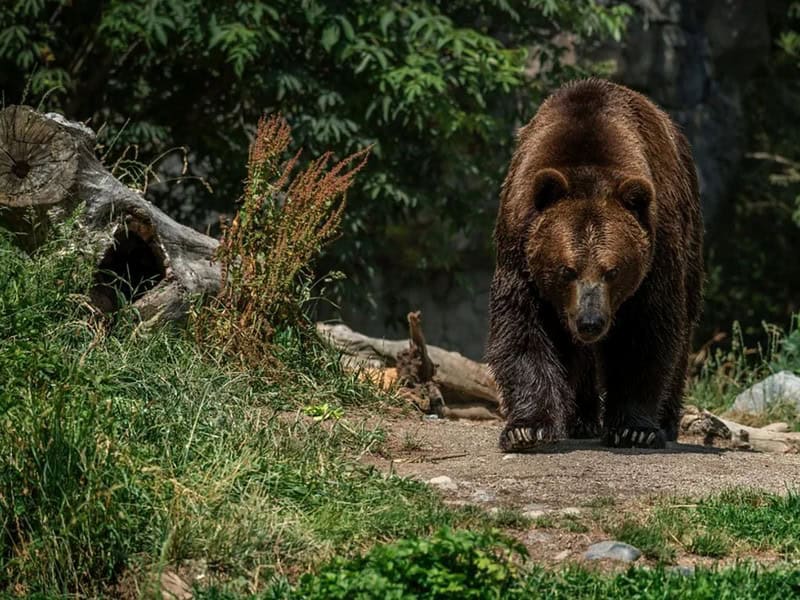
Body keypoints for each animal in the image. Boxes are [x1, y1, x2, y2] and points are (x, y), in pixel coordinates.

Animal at [484, 78, 704, 450]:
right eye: (566, 269)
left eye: (612, 270)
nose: (590, 322)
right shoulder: (520, 245)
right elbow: (522, 327)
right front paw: (527, 428)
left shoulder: (657, 250)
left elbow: (647, 332)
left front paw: (634, 429)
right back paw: (581, 419)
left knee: (684, 327)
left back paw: (665, 422)